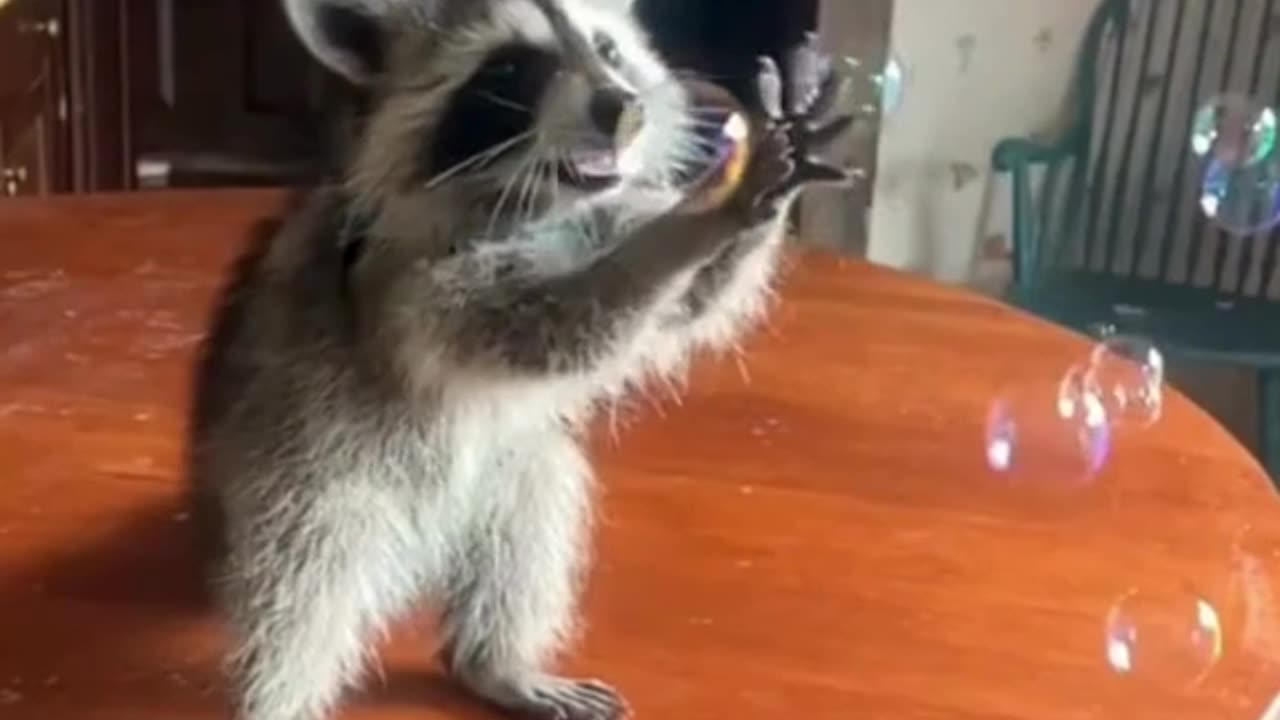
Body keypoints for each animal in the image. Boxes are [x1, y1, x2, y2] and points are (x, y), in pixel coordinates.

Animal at [186, 1, 849, 717]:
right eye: (510, 68)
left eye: (608, 50)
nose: (622, 104)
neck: (536, 199)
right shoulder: (399, 282)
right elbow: (532, 326)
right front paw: (692, 225)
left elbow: (687, 306)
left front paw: (742, 204)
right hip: (298, 474)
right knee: (304, 577)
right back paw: (283, 695)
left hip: (501, 479)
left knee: (534, 512)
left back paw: (494, 661)